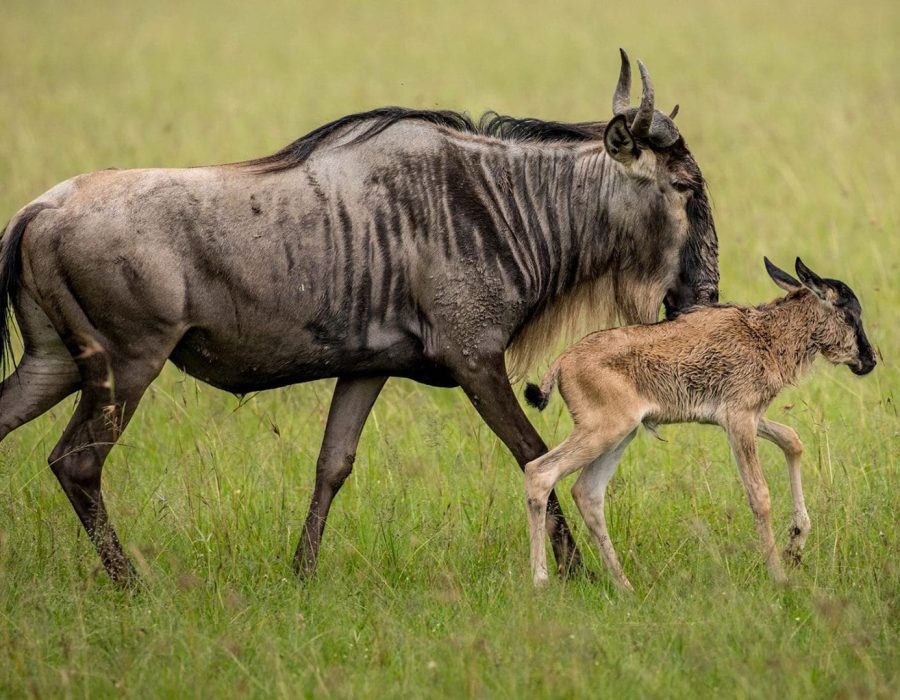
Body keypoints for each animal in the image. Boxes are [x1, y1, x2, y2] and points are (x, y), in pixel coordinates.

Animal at [523, 258, 876, 590]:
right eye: (849, 315)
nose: (869, 360)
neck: (764, 335)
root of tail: (562, 362)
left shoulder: (743, 417)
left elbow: (792, 440)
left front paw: (796, 543)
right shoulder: (739, 420)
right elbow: (759, 495)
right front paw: (779, 576)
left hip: (621, 435)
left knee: (587, 492)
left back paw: (625, 585)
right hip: (603, 432)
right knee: (540, 473)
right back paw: (540, 581)